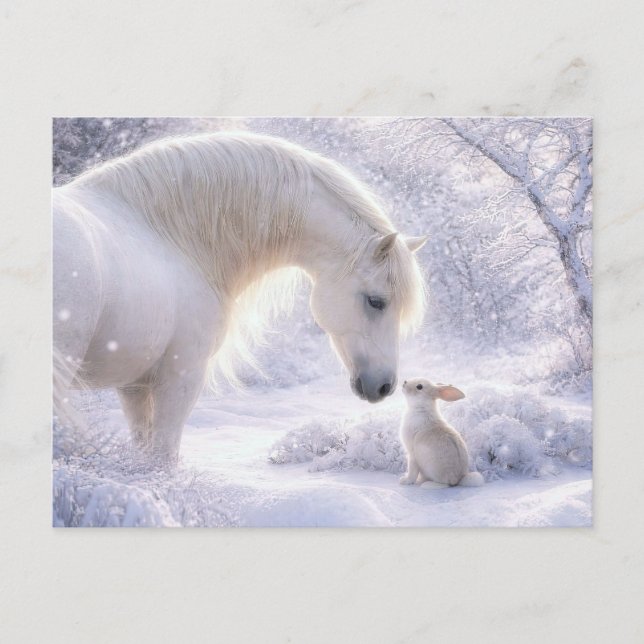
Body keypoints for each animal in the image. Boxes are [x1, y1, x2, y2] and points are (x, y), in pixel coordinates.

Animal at [53, 131, 427, 466]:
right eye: (376, 301)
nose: (386, 386)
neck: (168, 237)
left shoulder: (134, 385)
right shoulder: (180, 377)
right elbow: (163, 460)